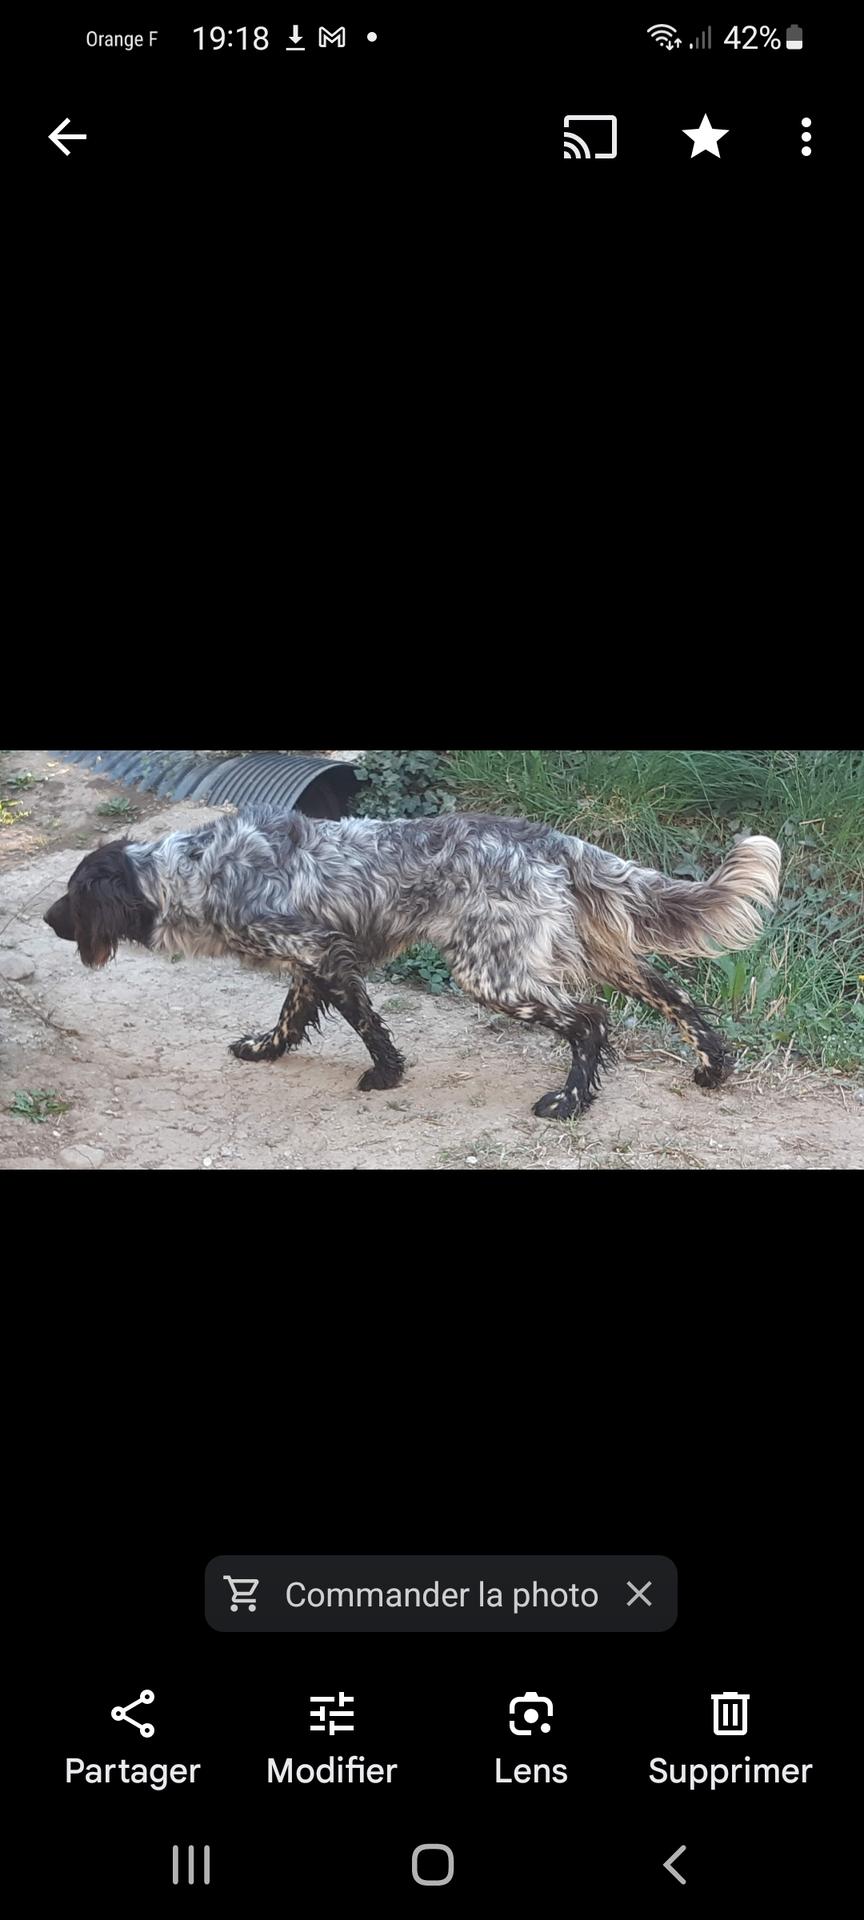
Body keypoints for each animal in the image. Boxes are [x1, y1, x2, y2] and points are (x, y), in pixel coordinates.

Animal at [43, 810, 779, 1121]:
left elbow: (366, 1024)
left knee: (592, 1022)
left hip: (491, 973)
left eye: (73, 897)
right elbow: (291, 1017)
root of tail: (549, 839)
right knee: (673, 995)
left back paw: (570, 1102)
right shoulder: (311, 962)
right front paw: (263, 1049)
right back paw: (712, 1069)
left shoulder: (324, 954)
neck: (197, 873)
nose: (48, 921)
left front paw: (384, 1075)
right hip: (588, 954)